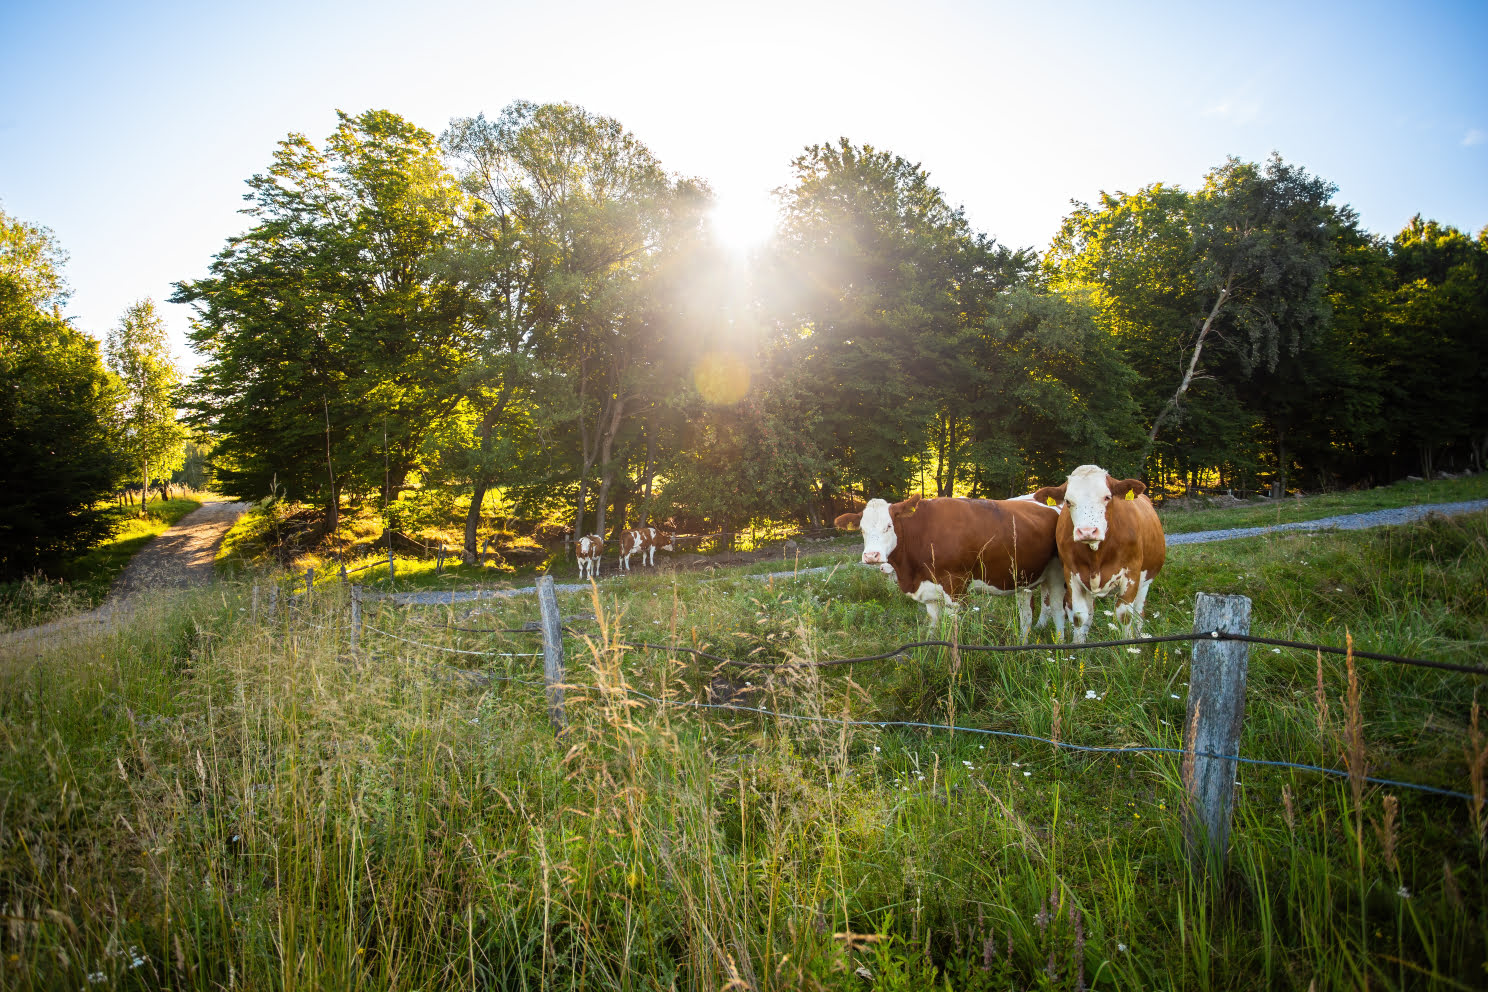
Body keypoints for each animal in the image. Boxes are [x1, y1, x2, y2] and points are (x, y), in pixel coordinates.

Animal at [833, 493, 1065, 639]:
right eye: (861, 529)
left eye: (889, 526)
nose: (871, 556)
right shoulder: (928, 590)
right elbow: (934, 627)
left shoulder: (956, 589)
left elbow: (954, 634)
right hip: (1026, 579)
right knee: (1027, 613)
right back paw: (1023, 641)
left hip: (1057, 575)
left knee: (1056, 609)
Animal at [1029, 466, 1166, 645]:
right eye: (1068, 501)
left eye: (1107, 497)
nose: (1087, 531)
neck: (1097, 554)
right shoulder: (1072, 574)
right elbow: (1080, 615)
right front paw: (1078, 645)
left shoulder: (1132, 574)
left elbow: (1125, 614)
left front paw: (1128, 647)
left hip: (1145, 581)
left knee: (1138, 611)